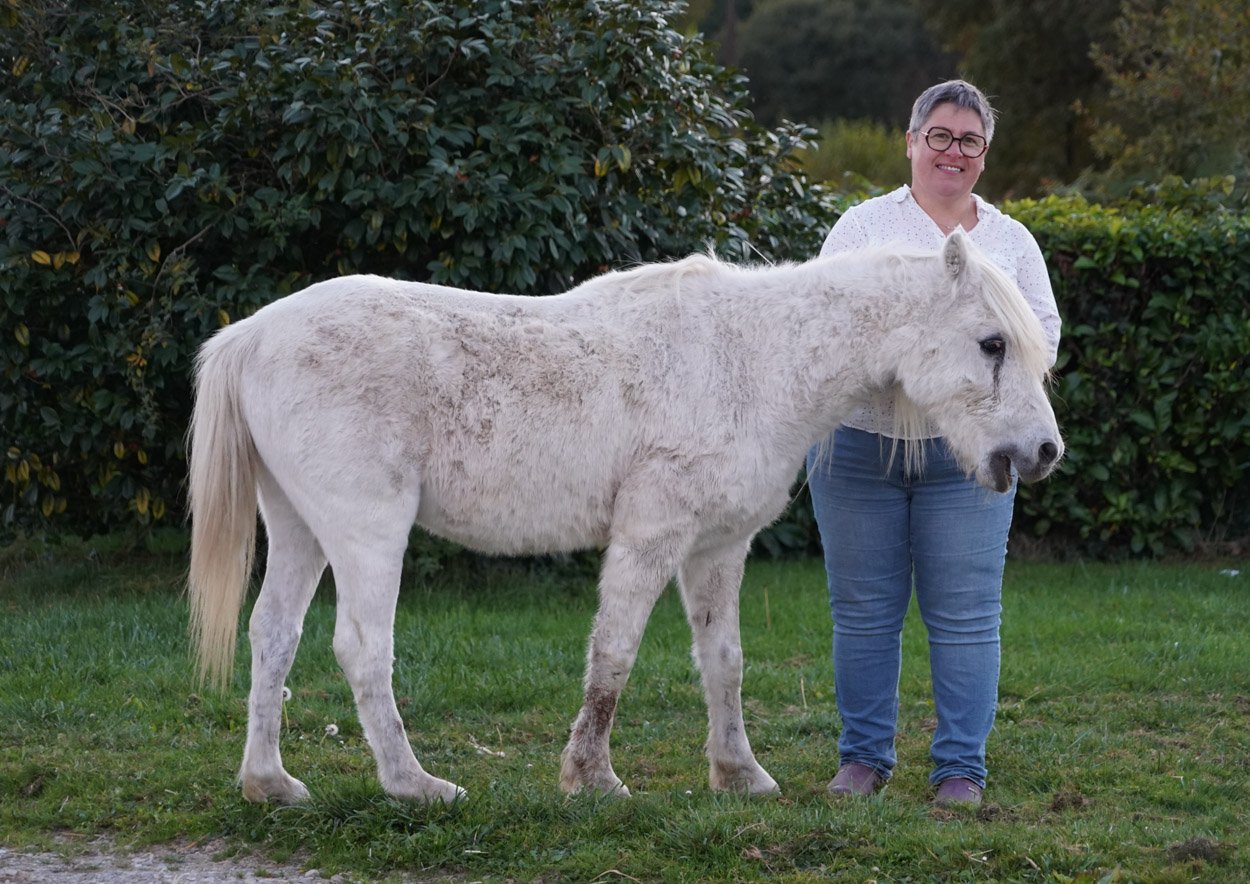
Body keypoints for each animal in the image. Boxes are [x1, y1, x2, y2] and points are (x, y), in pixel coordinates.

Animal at [187, 229, 1062, 805]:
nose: (1043, 451)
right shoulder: (651, 537)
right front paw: (593, 777)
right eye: (991, 343)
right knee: (362, 647)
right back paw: (413, 784)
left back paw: (268, 782)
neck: (756, 357)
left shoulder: (716, 548)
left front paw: (739, 774)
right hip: (367, 532)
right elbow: (613, 656)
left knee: (274, 634)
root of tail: (253, 333)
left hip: (299, 531)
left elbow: (724, 662)